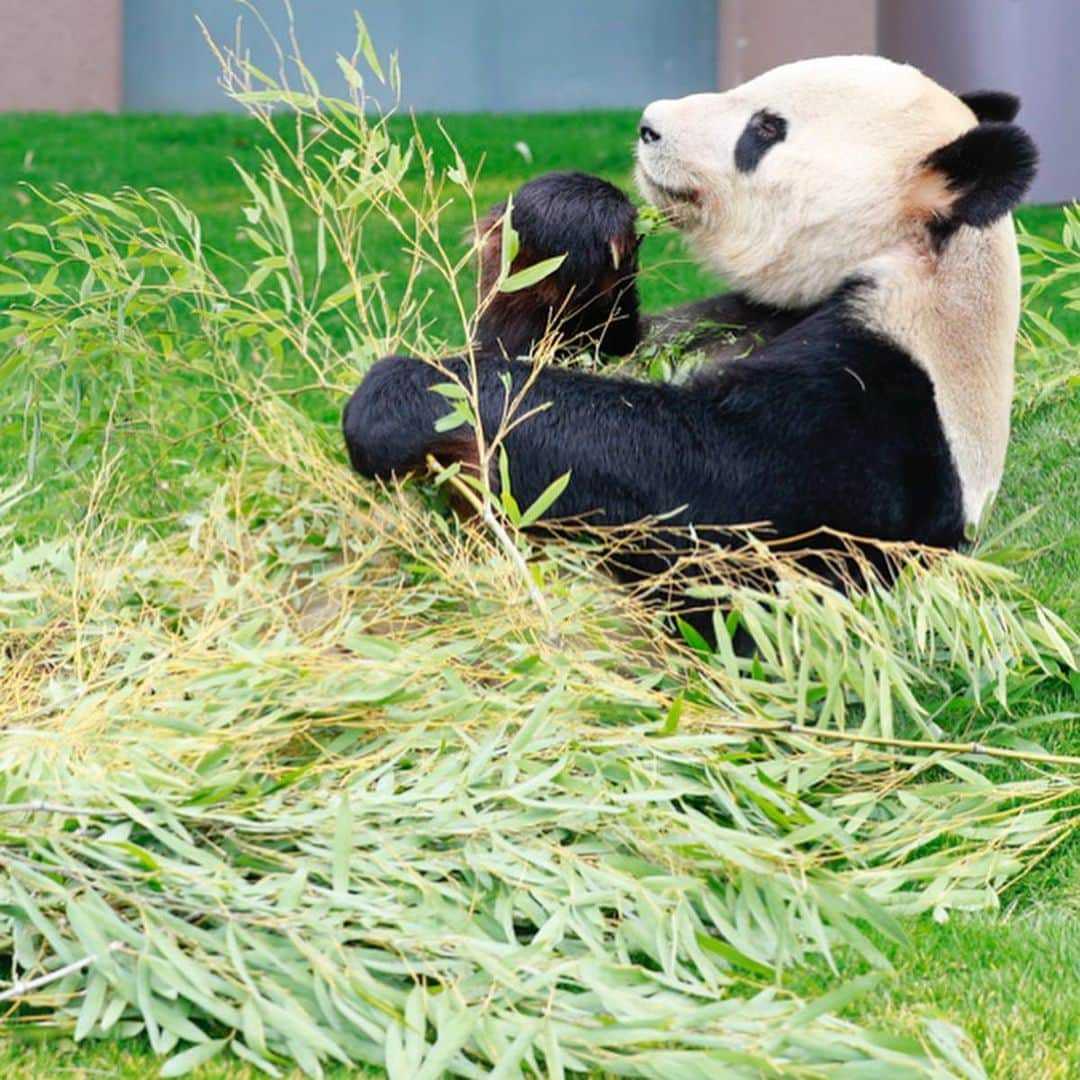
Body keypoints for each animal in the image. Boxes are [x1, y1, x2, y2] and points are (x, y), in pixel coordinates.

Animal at [343, 54, 1036, 639]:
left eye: (765, 129)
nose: (649, 126)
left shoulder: (881, 413)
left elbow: (692, 481)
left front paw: (398, 399)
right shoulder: (738, 316)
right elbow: (555, 349)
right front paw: (566, 218)